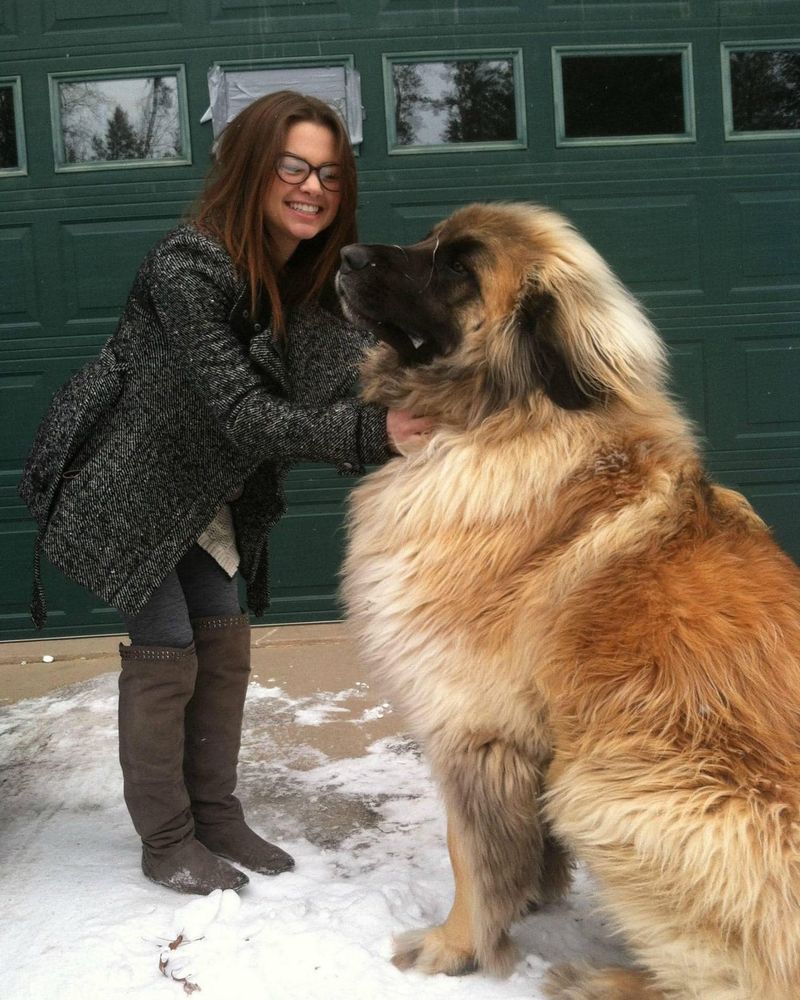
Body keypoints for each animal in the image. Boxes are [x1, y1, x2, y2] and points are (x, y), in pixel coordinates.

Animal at [334, 203, 800, 1000]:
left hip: (610, 786)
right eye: (429, 239)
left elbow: (468, 851)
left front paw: (455, 946)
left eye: (458, 267)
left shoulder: (472, 723)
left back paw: (601, 979)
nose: (346, 255)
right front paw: (527, 896)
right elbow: (519, 844)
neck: (509, 417)